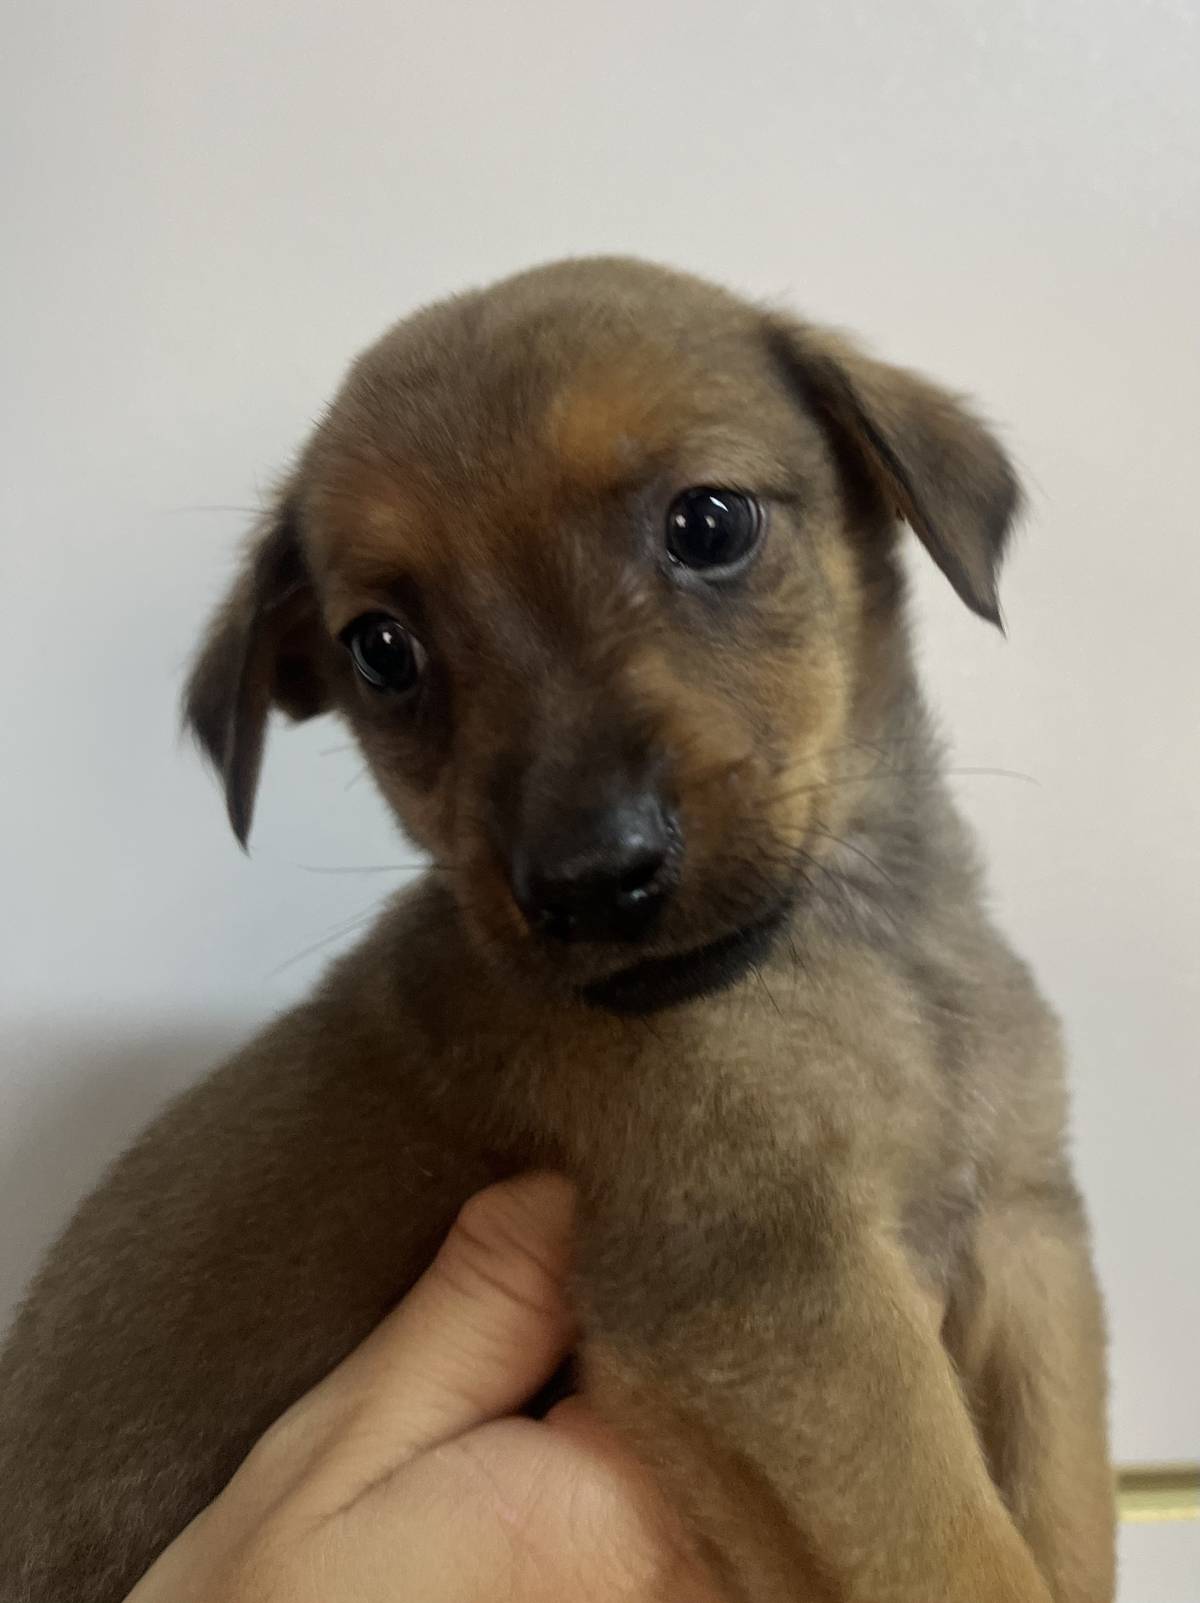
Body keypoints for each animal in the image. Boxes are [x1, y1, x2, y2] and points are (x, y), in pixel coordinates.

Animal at [0, 257, 1114, 1602]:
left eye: (710, 525)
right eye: (382, 650)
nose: (591, 878)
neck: (861, 947)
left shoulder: (1025, 1236)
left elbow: (1065, 1517)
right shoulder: (777, 1286)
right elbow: (961, 1557)